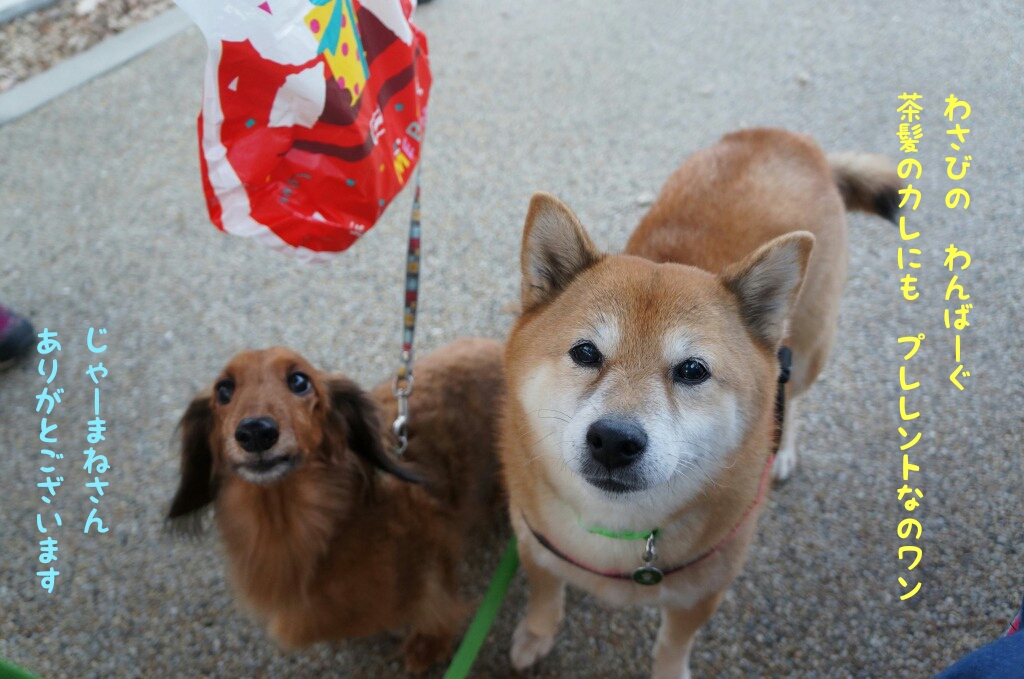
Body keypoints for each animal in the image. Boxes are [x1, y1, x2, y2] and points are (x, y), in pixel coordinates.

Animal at [167, 337, 505, 674]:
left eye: (299, 381)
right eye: (224, 390)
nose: (255, 432)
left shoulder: (435, 562)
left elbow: (437, 609)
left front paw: (429, 644)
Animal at [499, 128, 900, 678]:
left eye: (692, 370)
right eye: (585, 353)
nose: (614, 441)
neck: (619, 537)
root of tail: (792, 140)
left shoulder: (704, 590)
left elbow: (672, 644)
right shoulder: (533, 543)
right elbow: (544, 594)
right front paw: (536, 634)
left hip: (809, 350)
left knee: (792, 397)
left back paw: (783, 448)